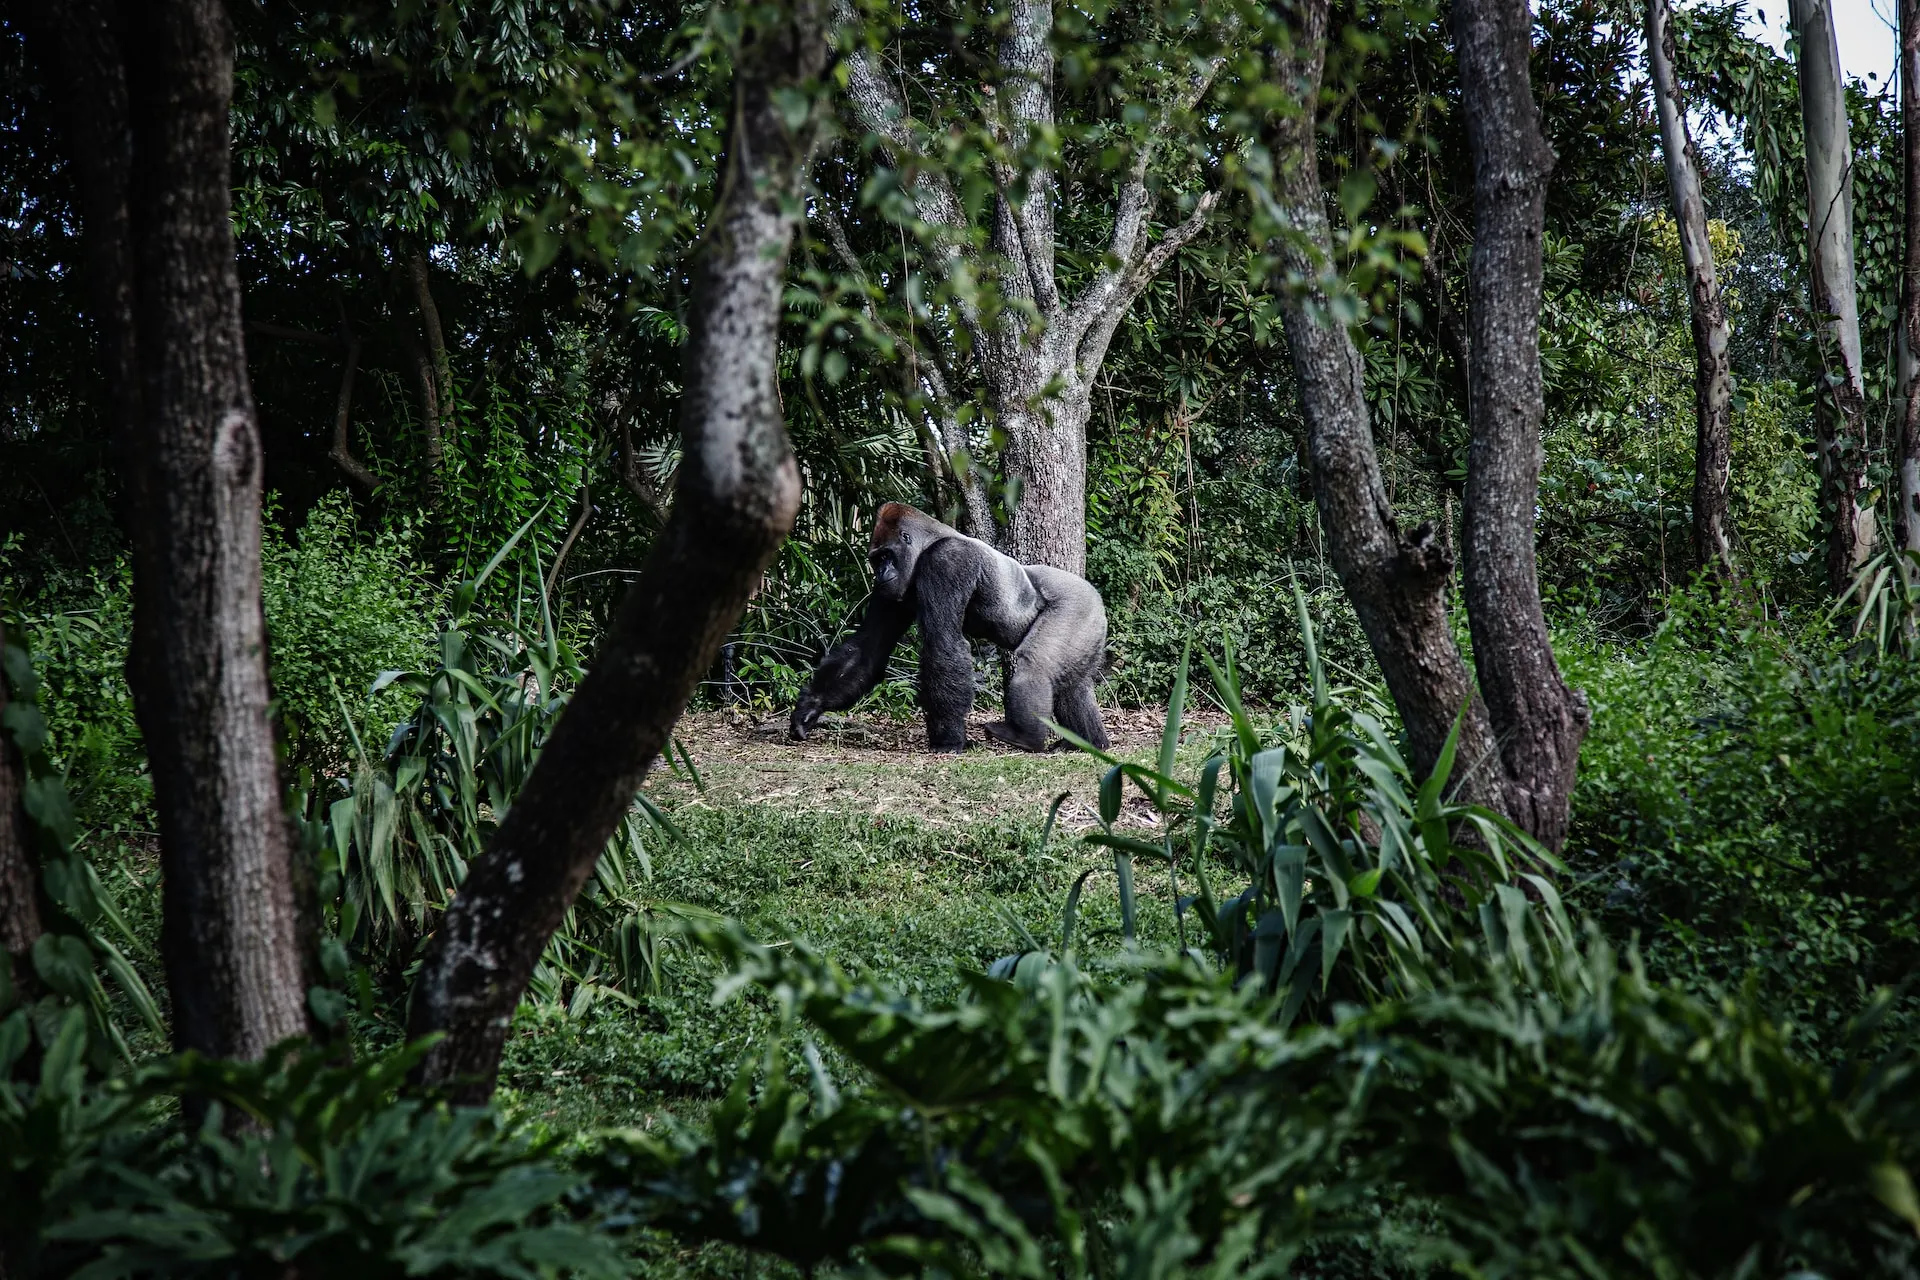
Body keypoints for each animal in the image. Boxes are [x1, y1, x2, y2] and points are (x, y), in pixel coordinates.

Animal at [790, 503, 1111, 752]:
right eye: (876, 560)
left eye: (886, 556)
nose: (880, 574)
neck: (929, 542)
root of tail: (1096, 596)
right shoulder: (891, 591)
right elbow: (868, 647)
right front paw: (811, 706)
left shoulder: (947, 561)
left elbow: (942, 643)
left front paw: (948, 740)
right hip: (1089, 623)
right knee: (1072, 684)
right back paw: (1088, 742)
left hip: (1077, 605)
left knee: (1036, 664)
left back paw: (1026, 737)